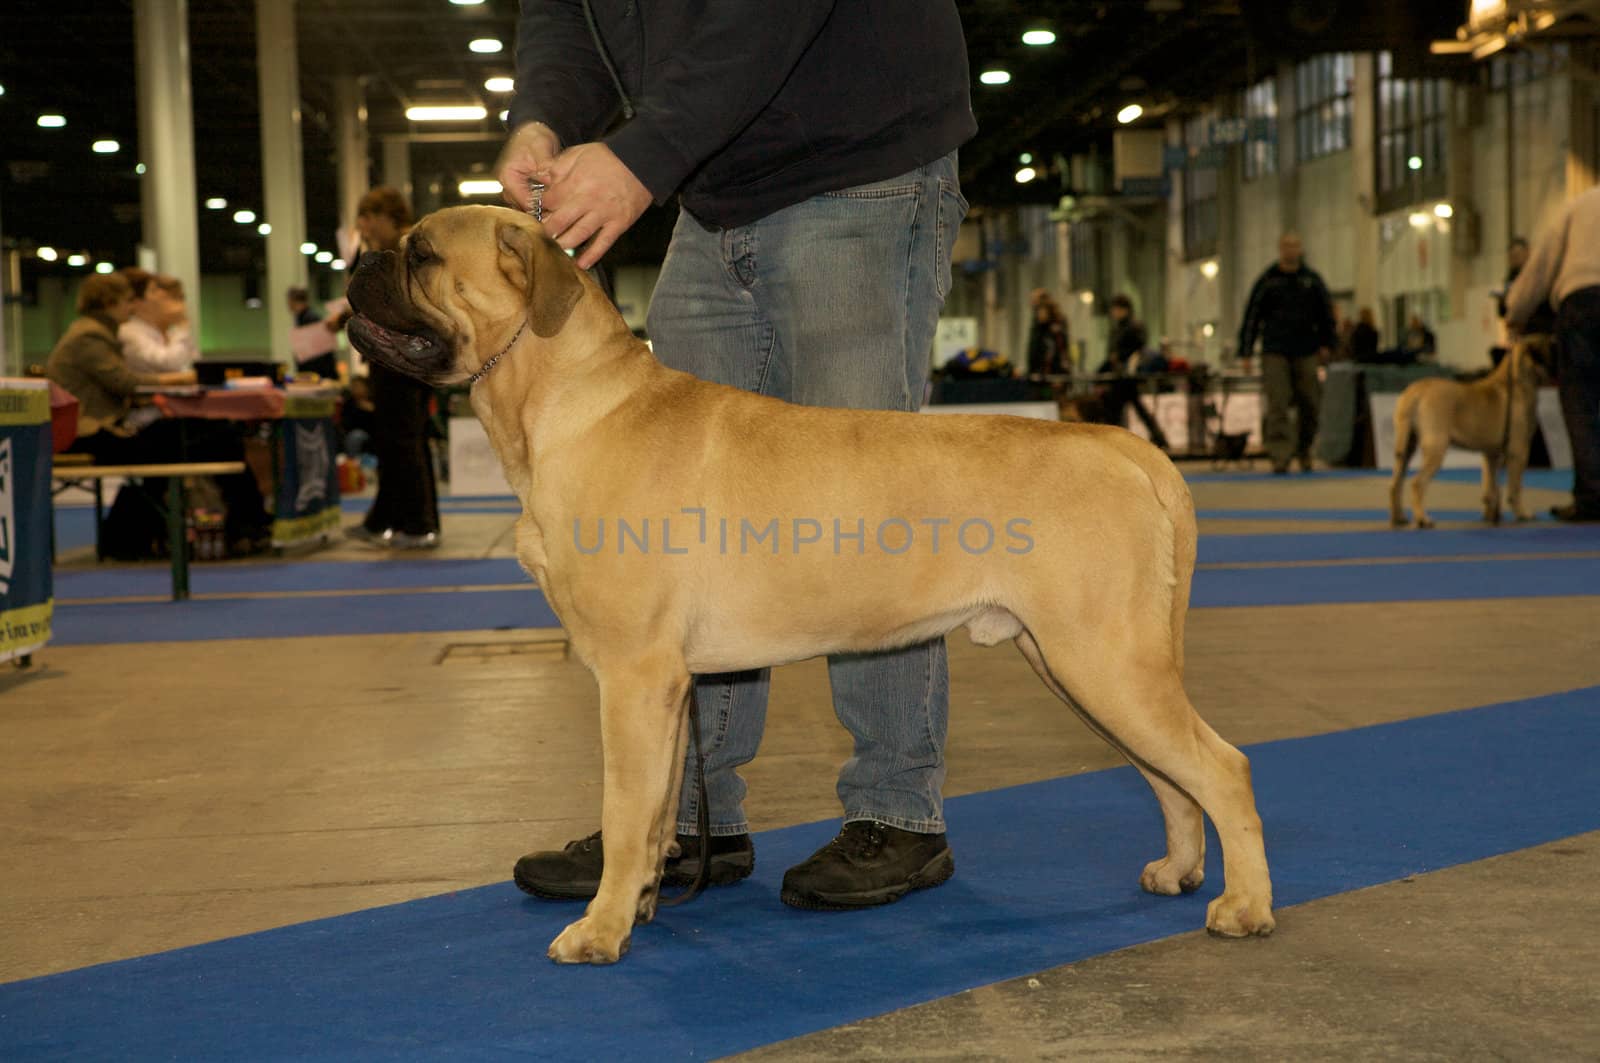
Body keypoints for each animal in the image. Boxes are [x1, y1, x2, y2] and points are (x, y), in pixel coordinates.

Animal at [350, 204, 1273, 960]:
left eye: (421, 253)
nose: (357, 260)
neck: (568, 402)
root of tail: (1124, 445)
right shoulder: (667, 688)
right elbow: (653, 813)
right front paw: (639, 900)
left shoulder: (633, 675)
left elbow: (624, 808)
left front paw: (600, 930)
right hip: (1077, 661)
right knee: (1169, 774)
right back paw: (1181, 869)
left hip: (1104, 656)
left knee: (1221, 764)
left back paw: (1245, 906)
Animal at [1388, 336, 1548, 528]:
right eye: (1553, 345)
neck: (1517, 380)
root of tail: (1417, 390)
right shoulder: (1518, 451)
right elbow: (1515, 487)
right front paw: (1522, 513)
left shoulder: (1490, 453)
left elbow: (1490, 485)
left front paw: (1491, 516)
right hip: (1436, 447)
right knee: (1417, 483)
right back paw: (1423, 519)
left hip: (1405, 449)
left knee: (1395, 483)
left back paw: (1398, 518)